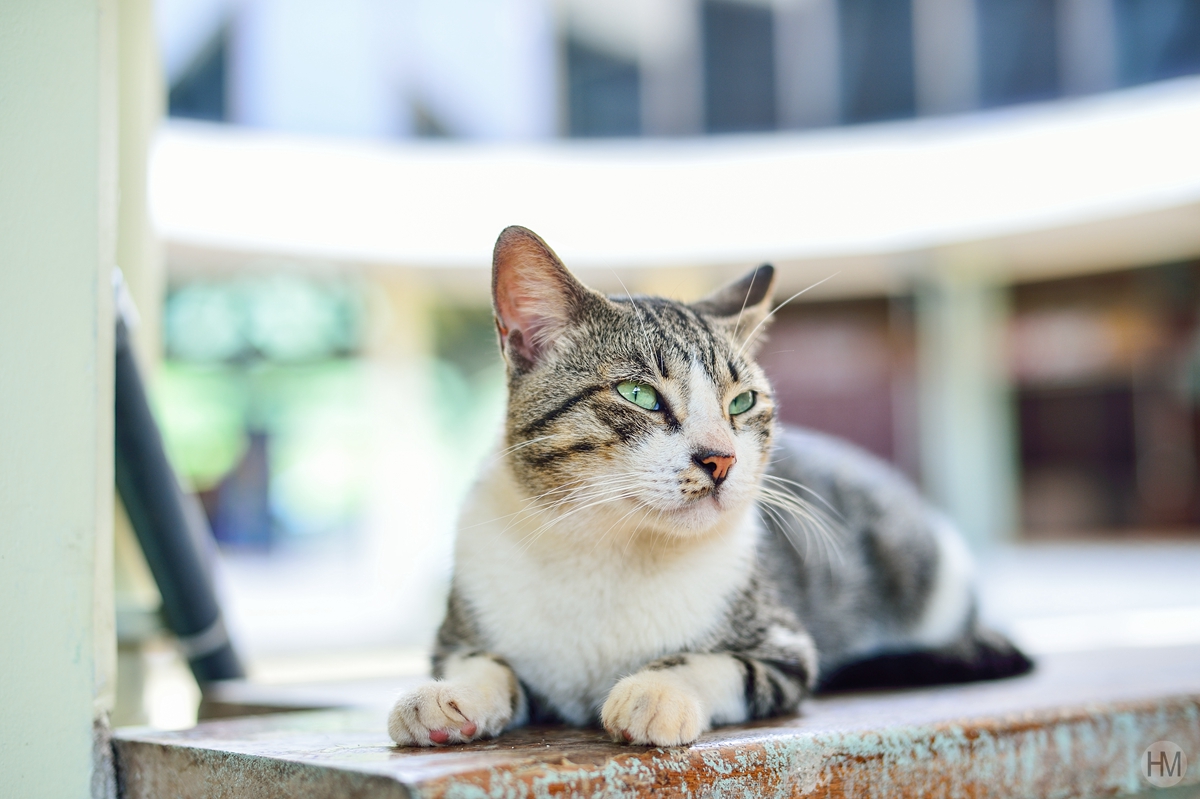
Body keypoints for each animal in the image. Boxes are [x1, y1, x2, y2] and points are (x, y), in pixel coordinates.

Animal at [386, 224, 1032, 748]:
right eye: (639, 394)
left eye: (741, 402)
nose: (720, 458)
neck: (606, 553)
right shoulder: (457, 633)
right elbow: (485, 662)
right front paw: (450, 696)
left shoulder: (785, 649)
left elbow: (715, 663)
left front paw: (656, 692)